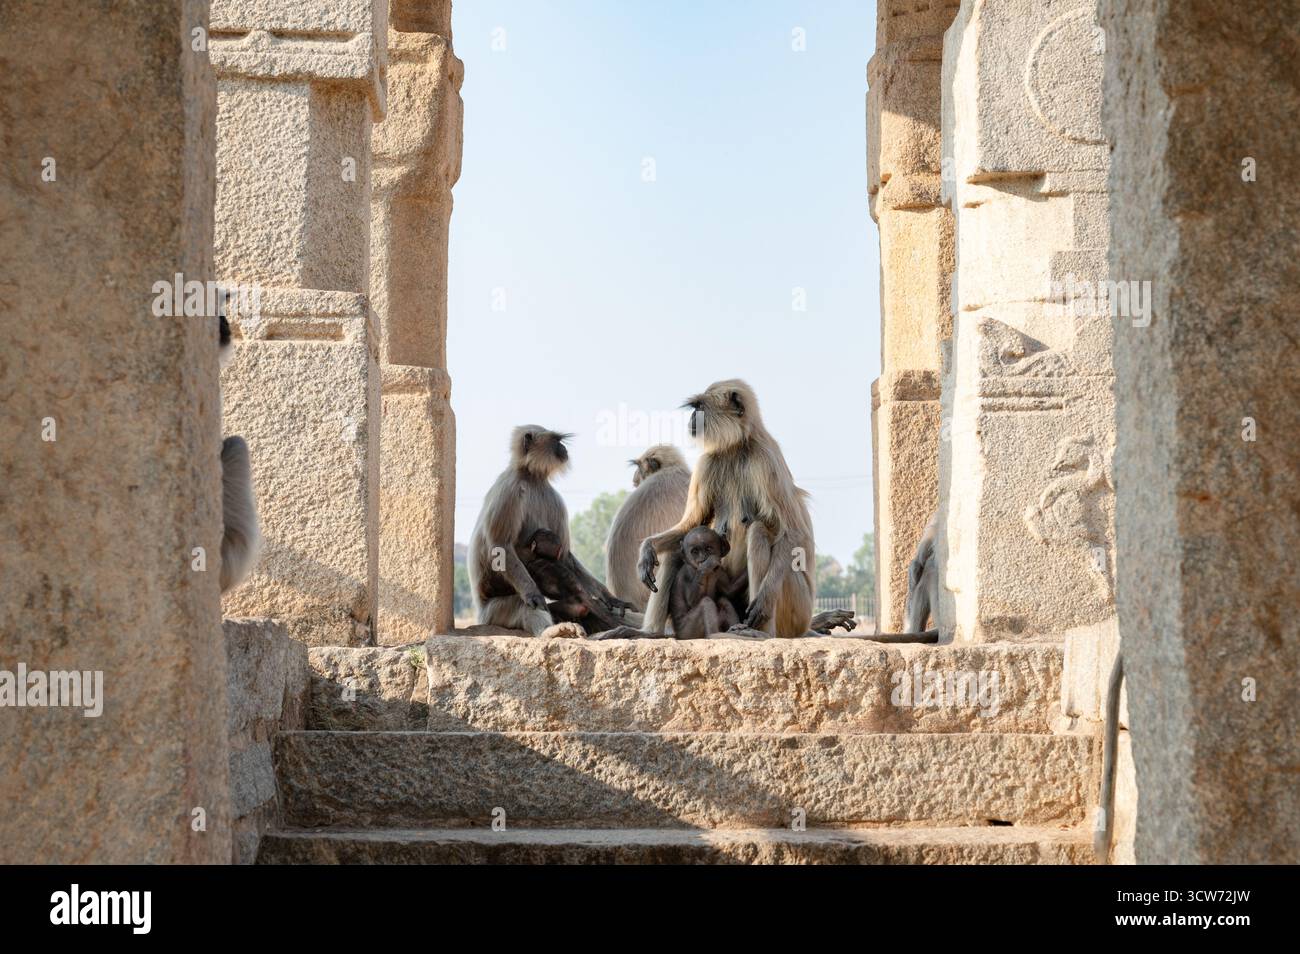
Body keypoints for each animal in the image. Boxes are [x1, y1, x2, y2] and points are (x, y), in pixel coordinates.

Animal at [469, 426, 635, 637]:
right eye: (556, 440)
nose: (563, 448)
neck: (532, 477)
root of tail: (480, 614)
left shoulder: (555, 499)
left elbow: (565, 556)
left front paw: (610, 597)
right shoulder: (508, 490)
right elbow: (500, 546)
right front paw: (534, 595)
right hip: (494, 612)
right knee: (523, 604)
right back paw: (551, 630)